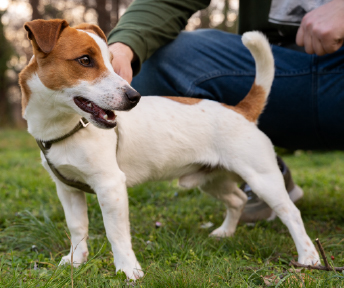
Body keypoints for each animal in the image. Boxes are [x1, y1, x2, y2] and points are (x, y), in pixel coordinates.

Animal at [18, 19, 320, 280]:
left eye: (112, 63)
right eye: (84, 60)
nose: (134, 97)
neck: (67, 127)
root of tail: (240, 110)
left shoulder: (110, 186)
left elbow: (116, 234)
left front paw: (128, 270)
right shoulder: (67, 190)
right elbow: (77, 228)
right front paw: (75, 261)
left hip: (262, 178)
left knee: (291, 213)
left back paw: (309, 258)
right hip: (211, 179)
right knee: (237, 199)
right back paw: (225, 232)